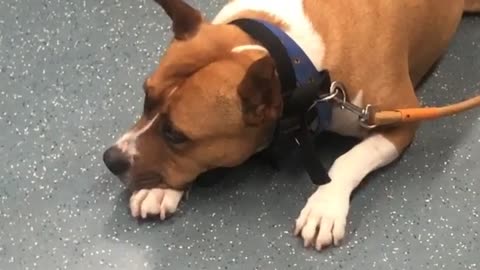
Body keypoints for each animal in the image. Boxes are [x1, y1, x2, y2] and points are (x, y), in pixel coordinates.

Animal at [102, 0, 480, 251]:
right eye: (146, 97)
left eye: (176, 135)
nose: (110, 159)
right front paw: (160, 189)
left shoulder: (399, 119)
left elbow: (349, 159)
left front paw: (325, 206)